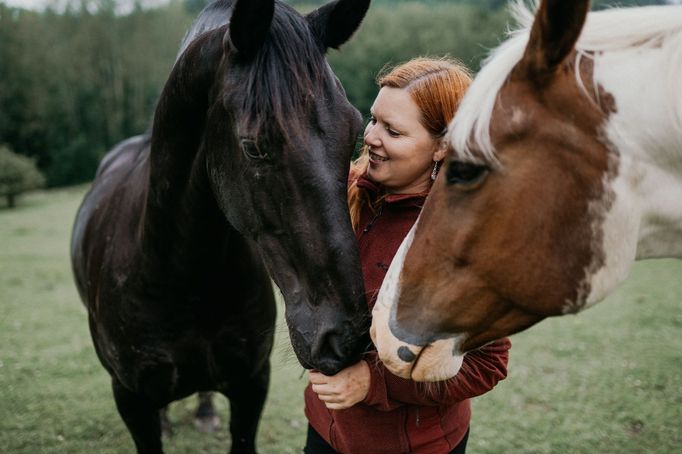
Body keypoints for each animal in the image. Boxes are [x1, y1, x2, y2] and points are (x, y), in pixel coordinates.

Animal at [71, 0, 370, 450]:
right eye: (253, 147)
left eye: (354, 130)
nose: (344, 337)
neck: (178, 275)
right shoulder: (131, 399)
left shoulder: (251, 385)